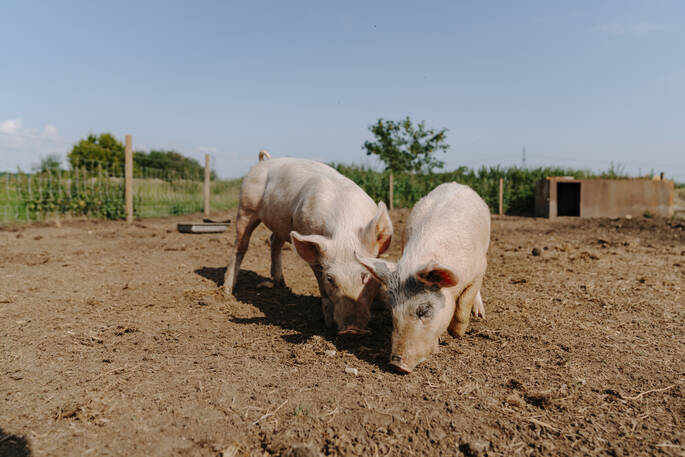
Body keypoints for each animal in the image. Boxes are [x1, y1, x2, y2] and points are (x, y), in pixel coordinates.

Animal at [224, 151, 393, 334]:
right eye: (330, 278)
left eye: (365, 276)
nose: (351, 329)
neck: (345, 229)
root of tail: (264, 162)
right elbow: (321, 285)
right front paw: (328, 323)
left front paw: (384, 304)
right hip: (246, 207)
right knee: (240, 246)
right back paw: (227, 290)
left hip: (281, 224)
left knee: (274, 242)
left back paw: (281, 283)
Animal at [355, 182, 490, 373]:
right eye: (392, 310)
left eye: (424, 310)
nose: (397, 365)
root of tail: (455, 184)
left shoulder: (479, 269)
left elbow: (465, 302)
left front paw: (456, 333)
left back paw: (479, 315)